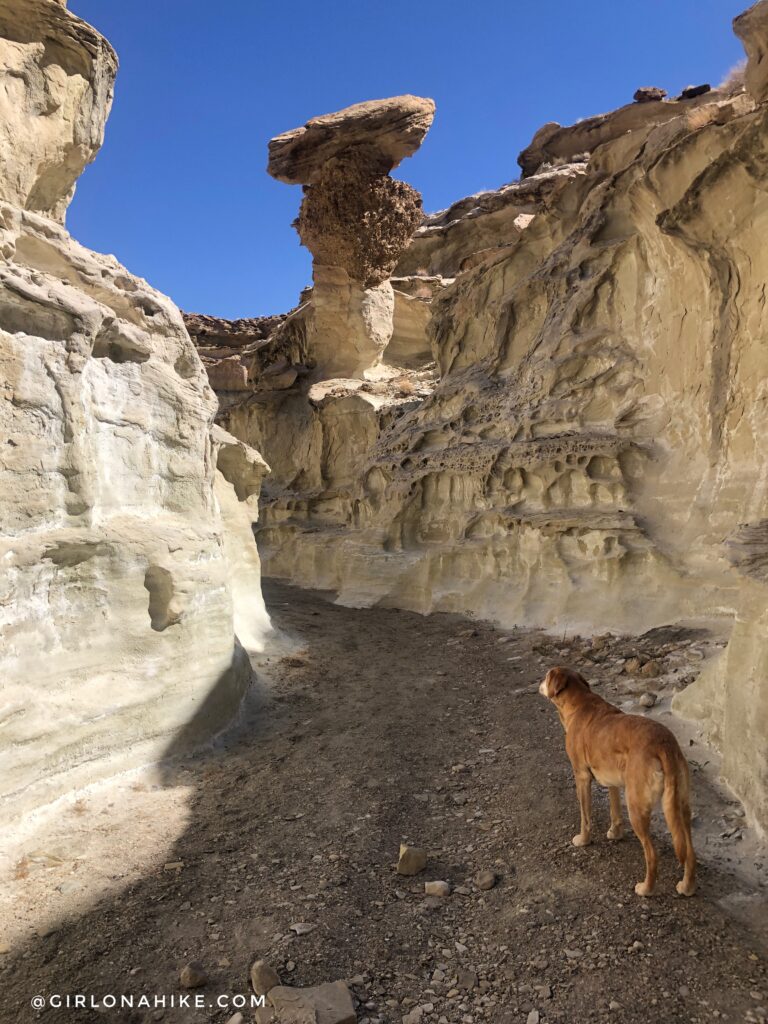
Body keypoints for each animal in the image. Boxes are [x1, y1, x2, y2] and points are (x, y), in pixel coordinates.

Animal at [540, 663, 696, 897]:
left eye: (547, 675)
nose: (538, 684)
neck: (579, 703)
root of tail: (664, 744)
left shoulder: (581, 777)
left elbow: (585, 817)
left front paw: (583, 840)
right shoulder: (612, 781)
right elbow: (614, 811)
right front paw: (615, 833)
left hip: (637, 807)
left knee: (652, 854)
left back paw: (646, 888)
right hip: (680, 806)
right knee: (690, 852)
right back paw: (687, 887)